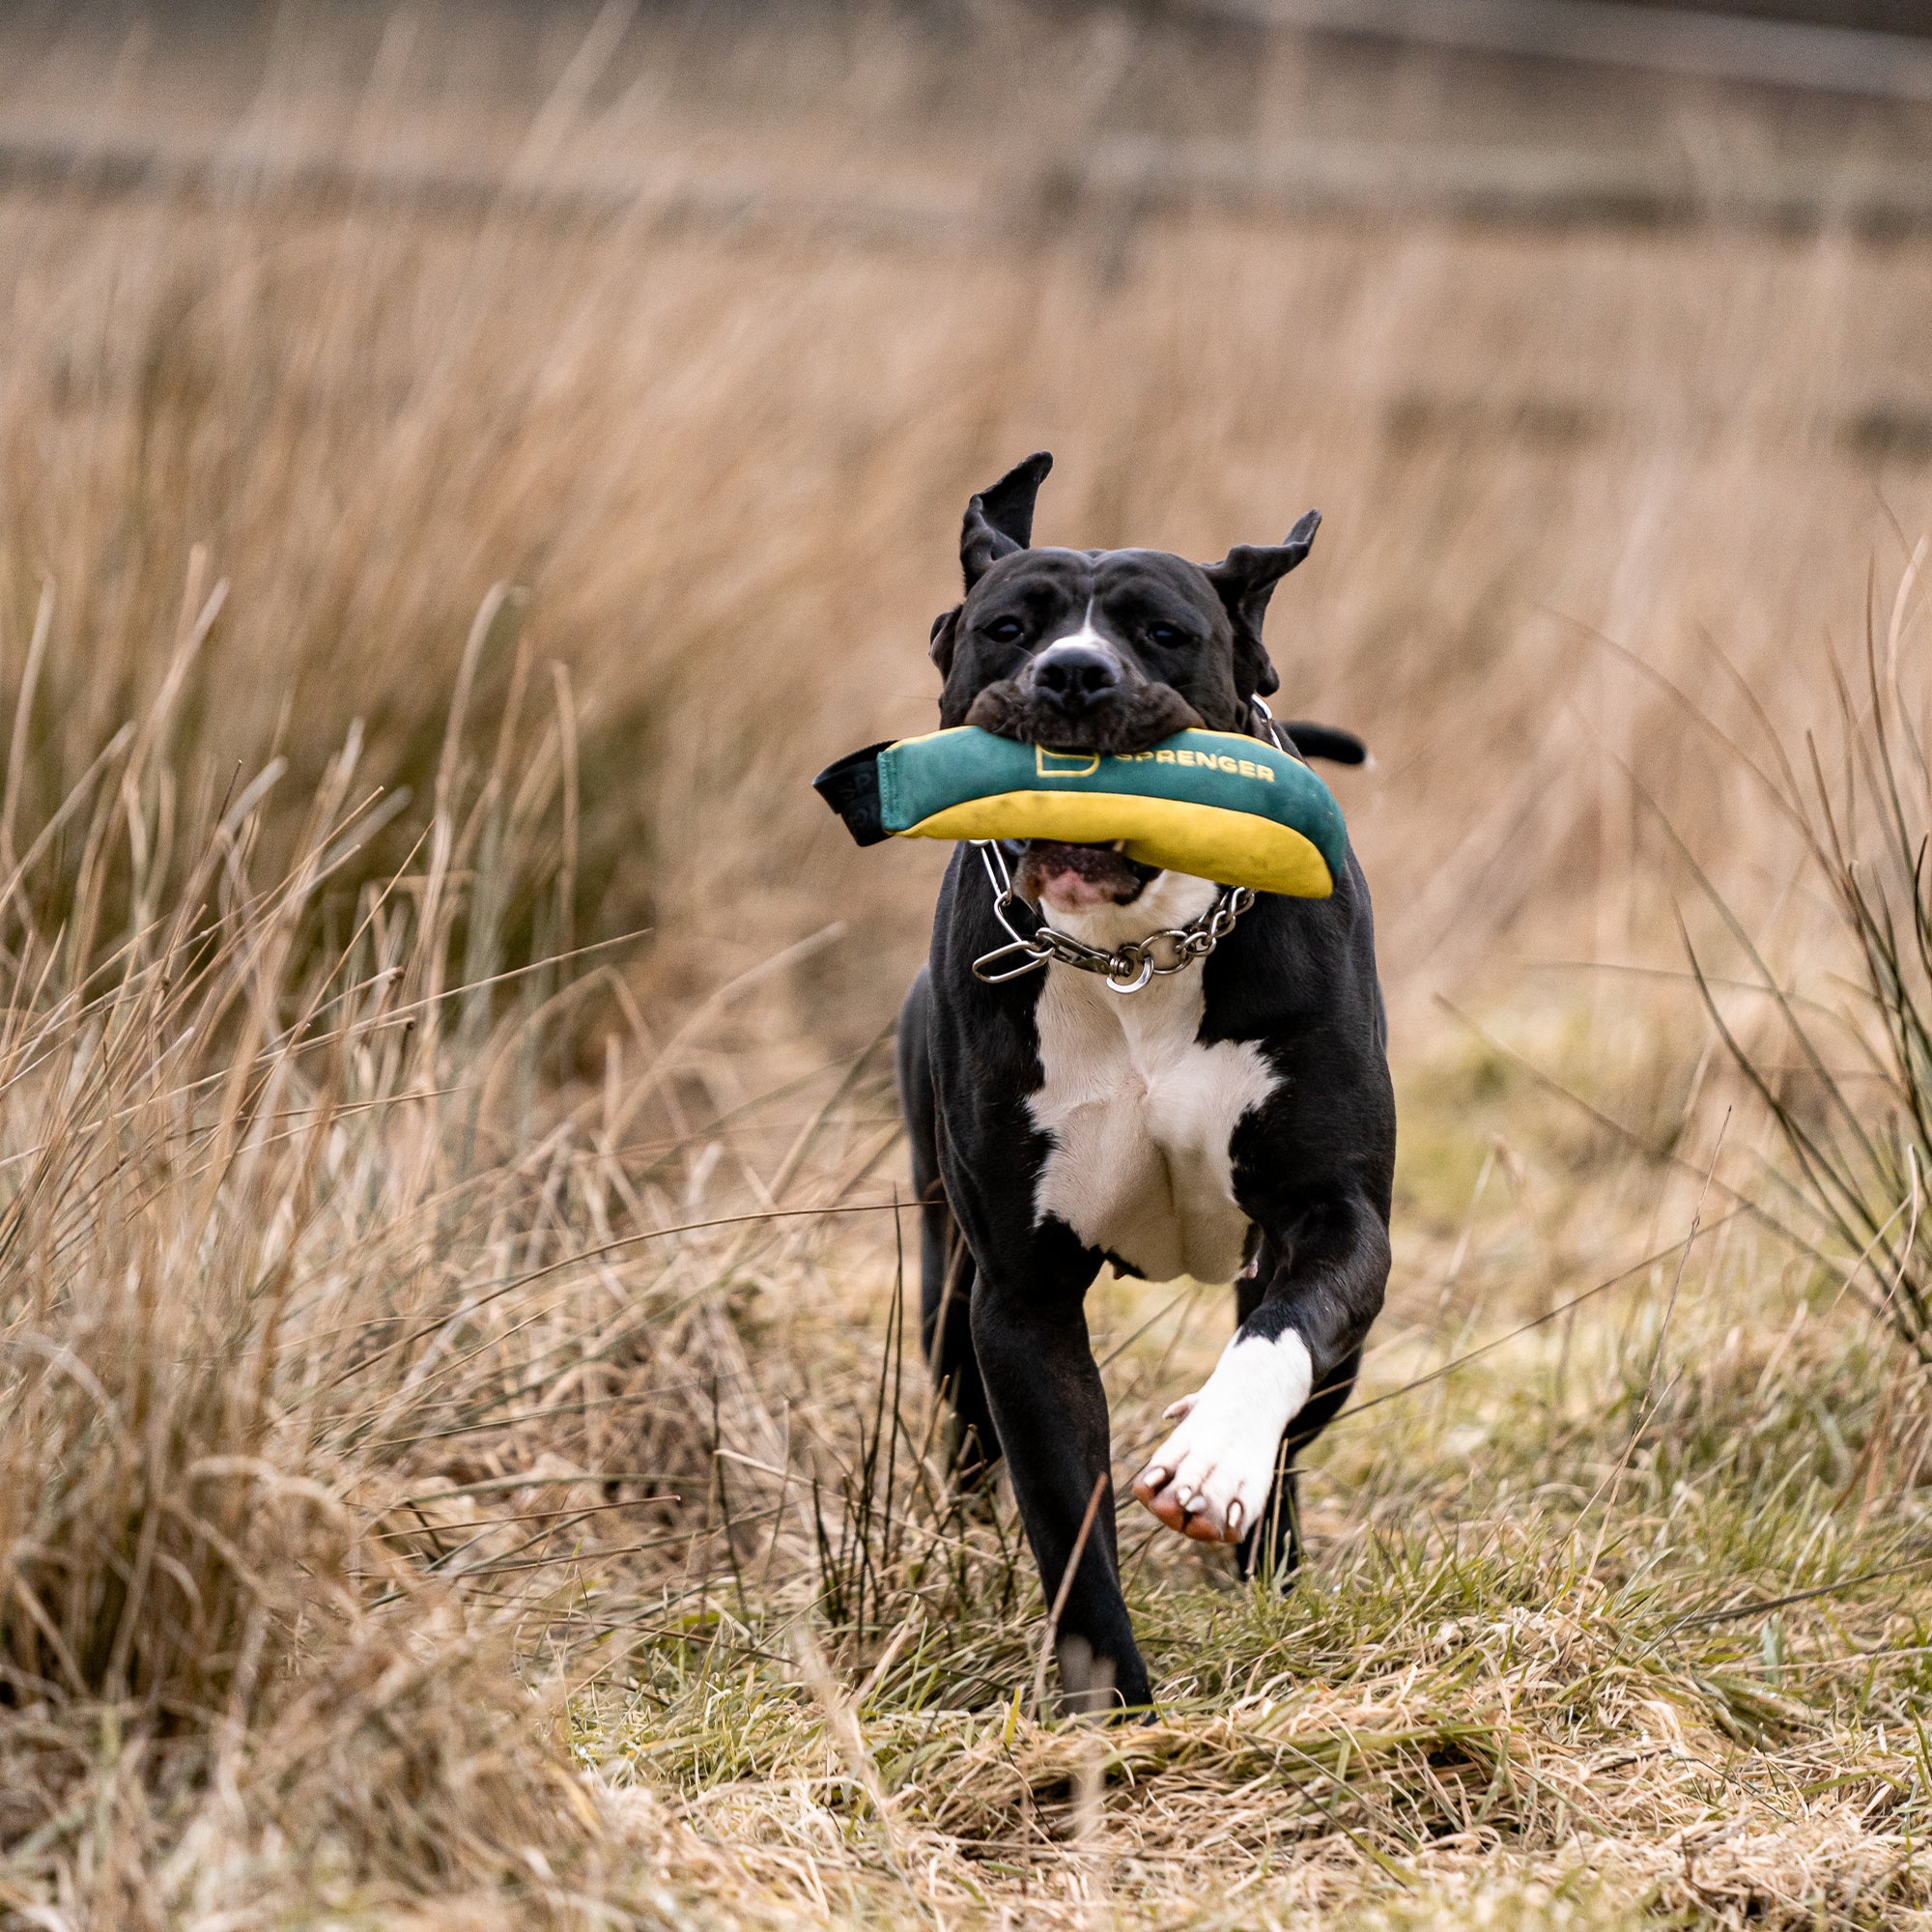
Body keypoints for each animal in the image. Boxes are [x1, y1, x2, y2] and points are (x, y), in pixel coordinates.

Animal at [896, 460, 1399, 1716]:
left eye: (1163, 633)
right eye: (1008, 627)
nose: (1073, 673)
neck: (1135, 956)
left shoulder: (1334, 1215)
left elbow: (1279, 1335)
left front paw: (1211, 1454)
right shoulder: (1017, 1299)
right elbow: (1066, 1524)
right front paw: (1111, 1716)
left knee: (1298, 1400)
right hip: (941, 1289)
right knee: (965, 1434)